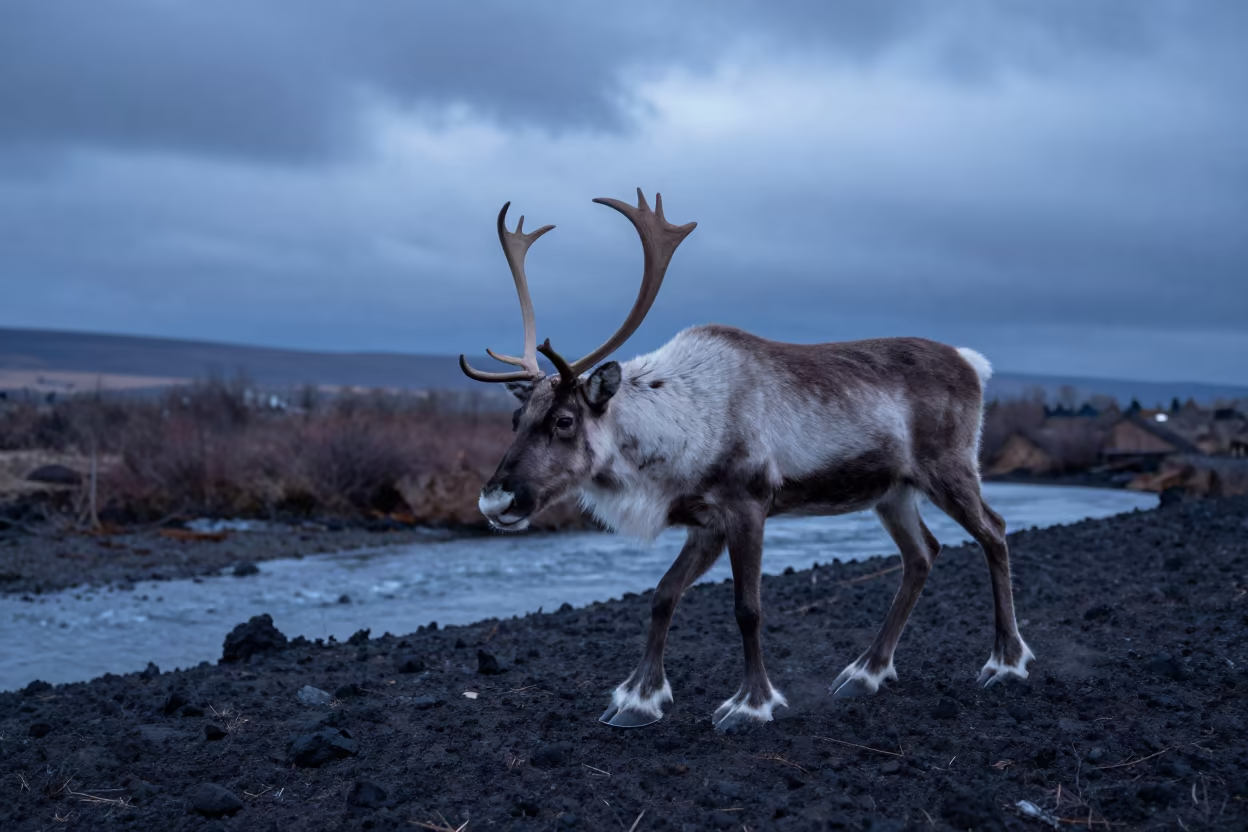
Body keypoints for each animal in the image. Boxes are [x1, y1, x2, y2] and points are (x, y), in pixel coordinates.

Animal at [458, 189, 1034, 733]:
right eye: (516, 419)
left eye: (564, 420)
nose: (495, 499)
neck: (679, 420)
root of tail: (972, 363)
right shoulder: (705, 523)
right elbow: (662, 595)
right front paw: (639, 698)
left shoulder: (748, 506)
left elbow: (747, 609)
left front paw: (751, 704)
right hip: (892, 490)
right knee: (922, 553)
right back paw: (866, 671)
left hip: (950, 468)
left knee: (994, 531)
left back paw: (1005, 662)